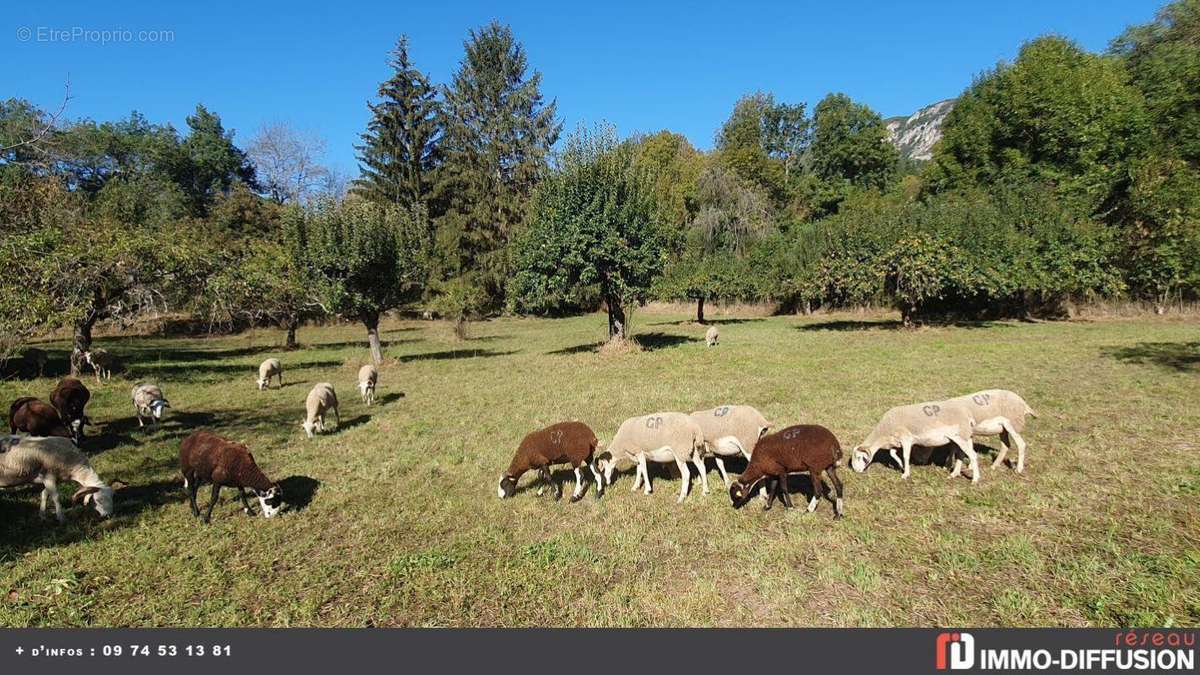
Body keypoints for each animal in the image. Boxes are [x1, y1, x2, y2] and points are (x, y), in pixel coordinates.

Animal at [849, 396, 979, 480]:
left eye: (860, 457)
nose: (856, 471)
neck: (883, 433)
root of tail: (967, 415)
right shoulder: (896, 442)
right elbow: (893, 454)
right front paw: (901, 466)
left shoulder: (906, 439)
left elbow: (906, 456)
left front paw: (905, 474)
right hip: (960, 438)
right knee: (961, 454)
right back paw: (954, 473)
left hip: (961, 437)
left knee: (973, 455)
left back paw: (975, 479)